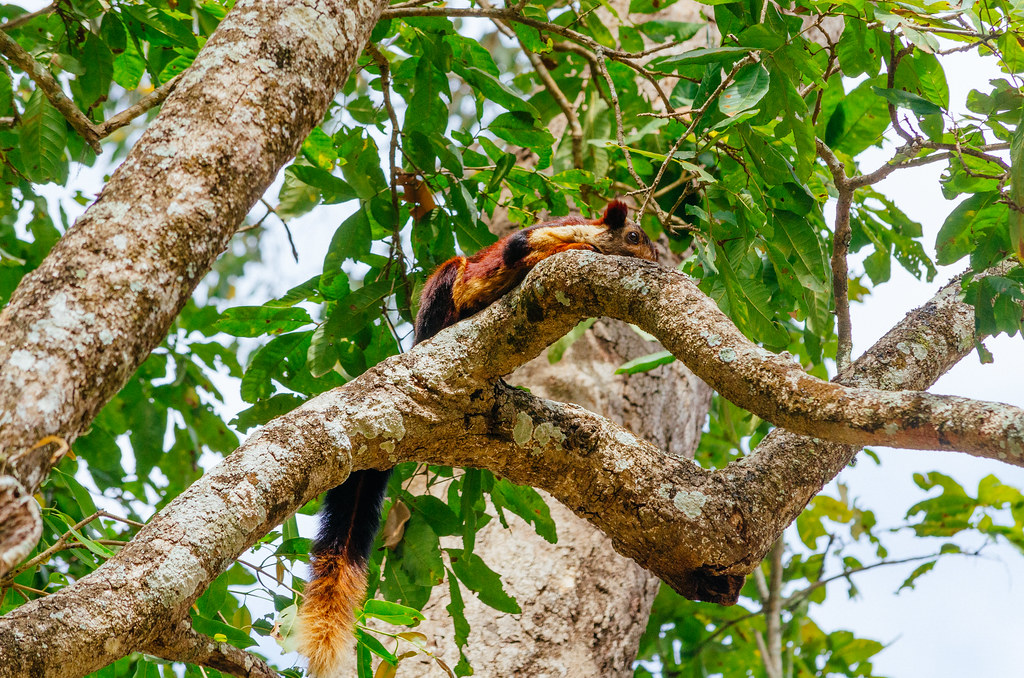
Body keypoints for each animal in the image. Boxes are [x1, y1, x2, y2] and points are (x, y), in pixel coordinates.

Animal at [294, 199, 658, 677]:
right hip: (446, 282)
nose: (655, 260)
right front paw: (568, 251)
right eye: (634, 236)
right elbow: (524, 249)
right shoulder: (540, 235)